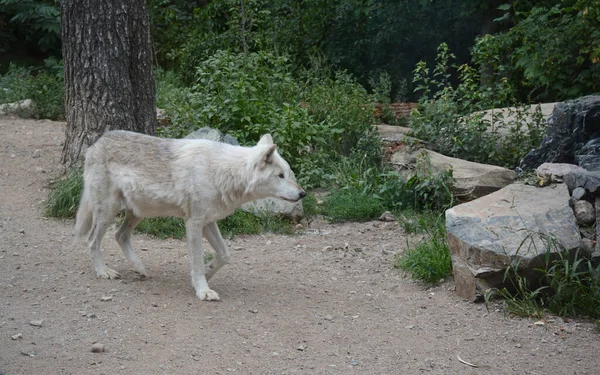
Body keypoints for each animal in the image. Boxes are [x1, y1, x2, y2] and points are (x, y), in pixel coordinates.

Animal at [75, 131, 308, 302]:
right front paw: (203, 290)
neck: (224, 172)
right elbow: (197, 260)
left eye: (288, 173)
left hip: (139, 213)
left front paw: (208, 272)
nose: (303, 193)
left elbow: (225, 255)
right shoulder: (194, 224)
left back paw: (139, 268)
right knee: (92, 241)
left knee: (120, 235)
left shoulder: (208, 222)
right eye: (280, 176)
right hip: (109, 211)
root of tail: (95, 143)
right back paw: (104, 272)